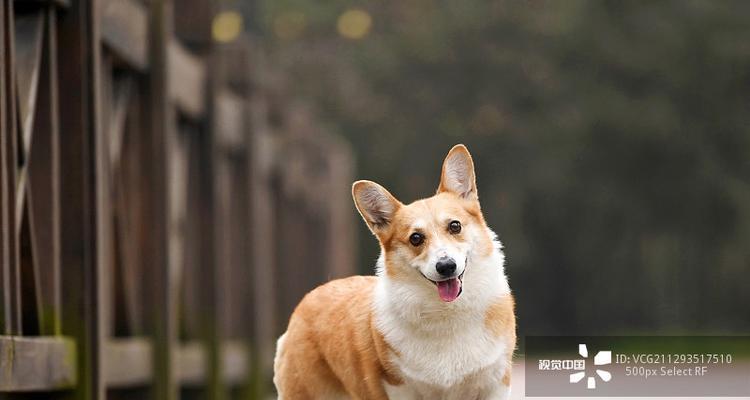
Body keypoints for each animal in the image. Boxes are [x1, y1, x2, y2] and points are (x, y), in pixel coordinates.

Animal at [276, 145, 516, 398]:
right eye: (416, 238)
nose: (446, 266)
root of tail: (306, 301)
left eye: (455, 226)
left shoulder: (496, 385)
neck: (446, 312)